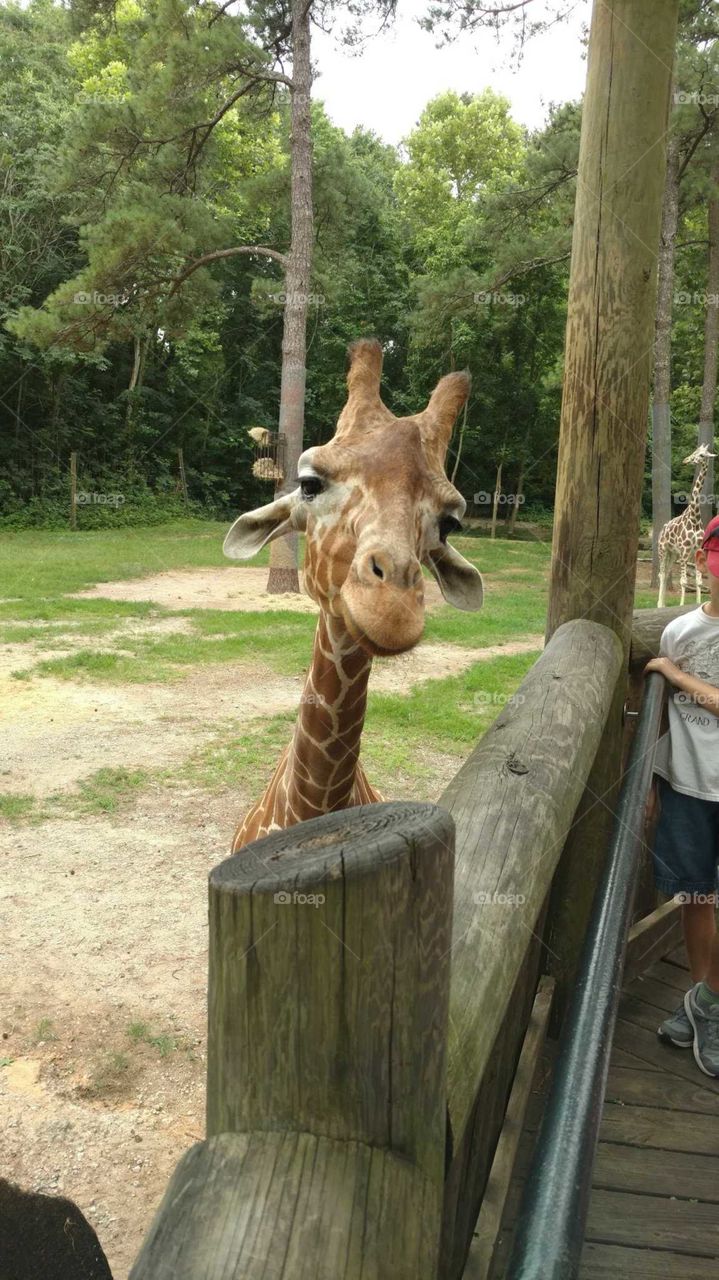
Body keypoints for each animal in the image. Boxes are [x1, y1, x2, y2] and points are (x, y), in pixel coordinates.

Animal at [657, 443, 717, 608]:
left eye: (702, 455)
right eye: (695, 451)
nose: (686, 460)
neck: (695, 518)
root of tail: (662, 530)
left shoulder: (695, 551)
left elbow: (698, 582)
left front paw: (697, 603)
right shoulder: (684, 553)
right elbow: (684, 581)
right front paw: (681, 605)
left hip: (673, 554)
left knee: (666, 573)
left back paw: (663, 604)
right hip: (662, 550)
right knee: (662, 573)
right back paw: (659, 605)